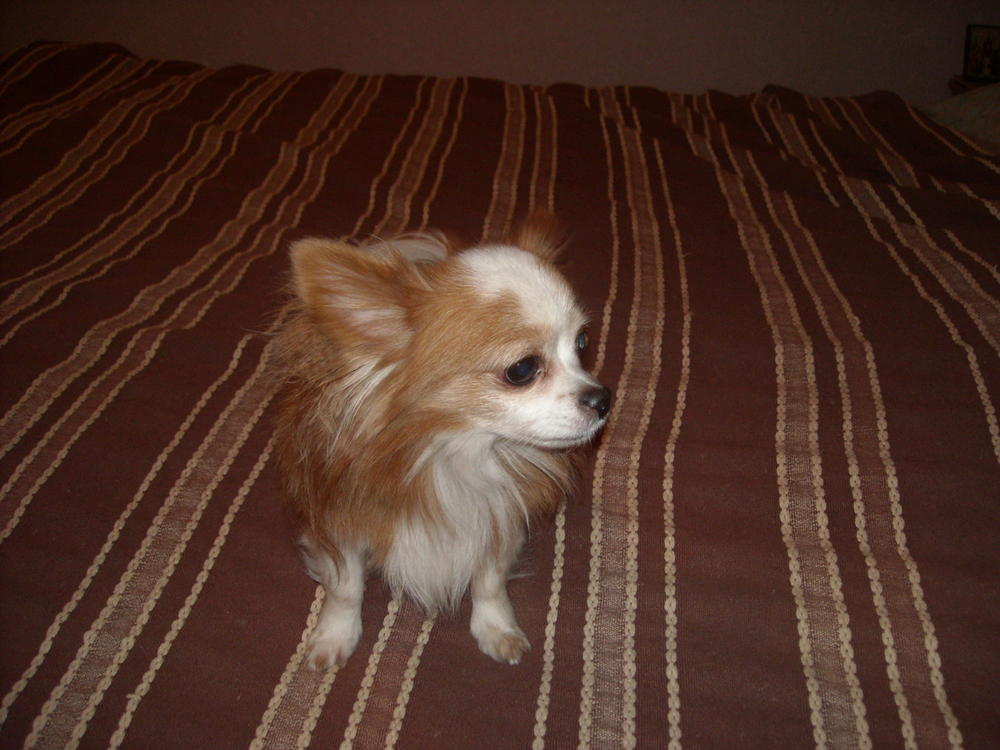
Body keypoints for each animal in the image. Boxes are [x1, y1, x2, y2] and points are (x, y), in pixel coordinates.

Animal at [273, 215, 611, 668]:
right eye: (522, 369)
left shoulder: (497, 516)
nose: (603, 399)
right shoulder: (339, 522)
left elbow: (490, 580)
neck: (452, 453)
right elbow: (346, 587)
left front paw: (497, 628)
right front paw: (334, 636)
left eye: (581, 344)